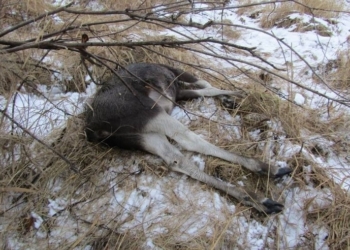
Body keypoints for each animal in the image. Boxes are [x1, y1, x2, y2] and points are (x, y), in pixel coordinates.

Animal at [85, 62, 292, 213]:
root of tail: (93, 130)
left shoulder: (178, 93)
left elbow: (205, 89)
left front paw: (229, 98)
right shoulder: (178, 75)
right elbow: (208, 86)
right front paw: (239, 92)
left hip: (138, 134)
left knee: (175, 158)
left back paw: (255, 198)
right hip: (146, 110)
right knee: (190, 140)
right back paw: (265, 173)